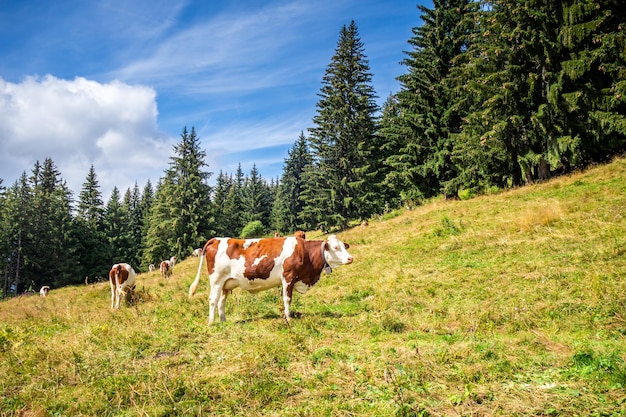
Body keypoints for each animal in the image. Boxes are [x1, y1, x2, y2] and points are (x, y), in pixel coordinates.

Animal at [188, 232, 352, 324]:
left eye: (344, 246)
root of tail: (217, 239)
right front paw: (288, 318)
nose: (351, 258)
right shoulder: (288, 277)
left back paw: (223, 321)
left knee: (221, 301)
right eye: (335, 248)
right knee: (213, 300)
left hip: (226, 284)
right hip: (216, 281)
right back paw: (211, 323)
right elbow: (287, 299)